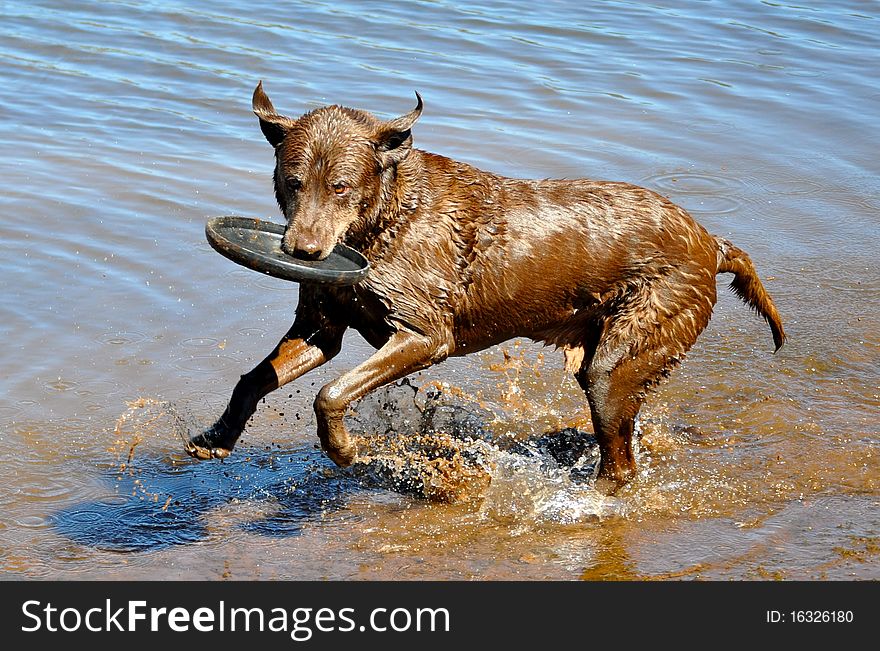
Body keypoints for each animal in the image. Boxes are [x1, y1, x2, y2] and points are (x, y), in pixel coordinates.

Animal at [187, 81, 784, 486]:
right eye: (292, 182)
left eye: (341, 187)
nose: (303, 252)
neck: (386, 220)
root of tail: (711, 242)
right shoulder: (320, 328)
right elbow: (252, 380)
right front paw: (216, 437)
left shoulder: (426, 336)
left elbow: (330, 393)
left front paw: (345, 450)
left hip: (621, 359)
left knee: (619, 459)